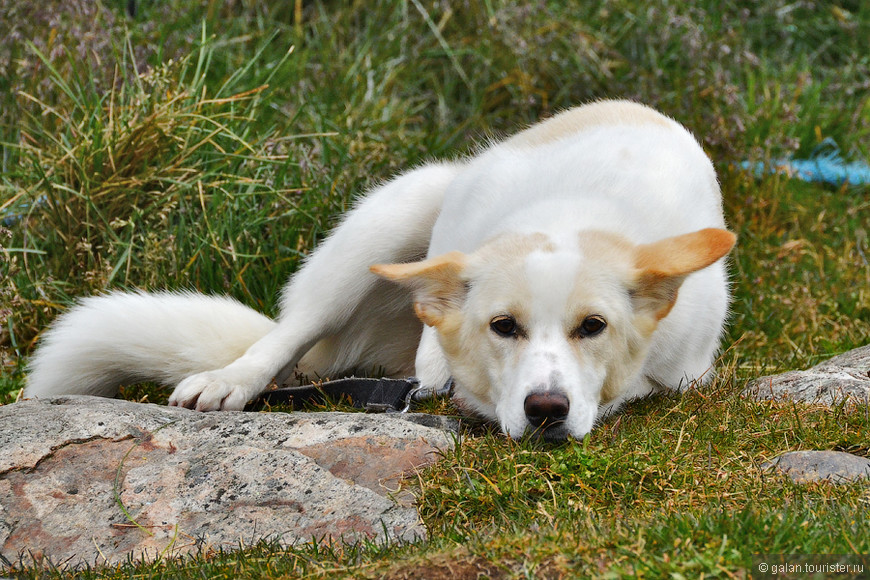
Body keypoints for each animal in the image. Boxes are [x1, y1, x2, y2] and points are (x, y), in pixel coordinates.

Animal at [23, 101, 736, 440]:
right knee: (286, 335)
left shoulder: (682, 371)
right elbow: (437, 328)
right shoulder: (457, 226)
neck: (578, 214)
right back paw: (232, 382)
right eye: (502, 326)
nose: (546, 409)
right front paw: (444, 368)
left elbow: (633, 386)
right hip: (393, 215)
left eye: (594, 327)